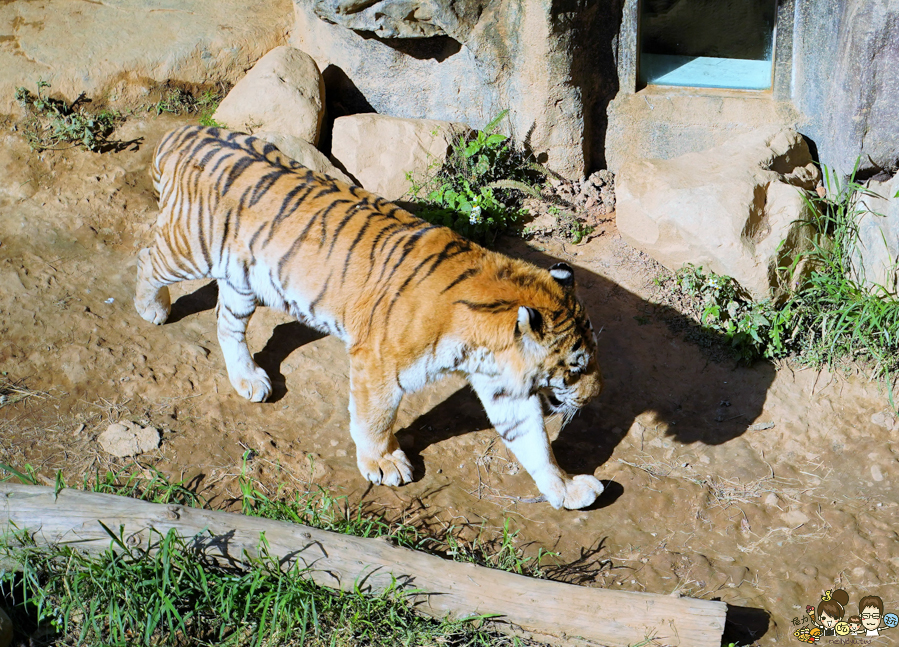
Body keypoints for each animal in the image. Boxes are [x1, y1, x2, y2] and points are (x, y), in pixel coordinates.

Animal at [135, 125, 604, 512]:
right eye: (574, 368)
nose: (595, 397)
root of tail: (187, 132)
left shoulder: (504, 389)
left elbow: (534, 442)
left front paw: (566, 489)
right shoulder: (378, 363)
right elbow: (375, 417)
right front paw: (383, 463)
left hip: (241, 278)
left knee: (226, 321)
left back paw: (248, 378)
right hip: (188, 248)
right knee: (146, 257)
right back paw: (152, 308)